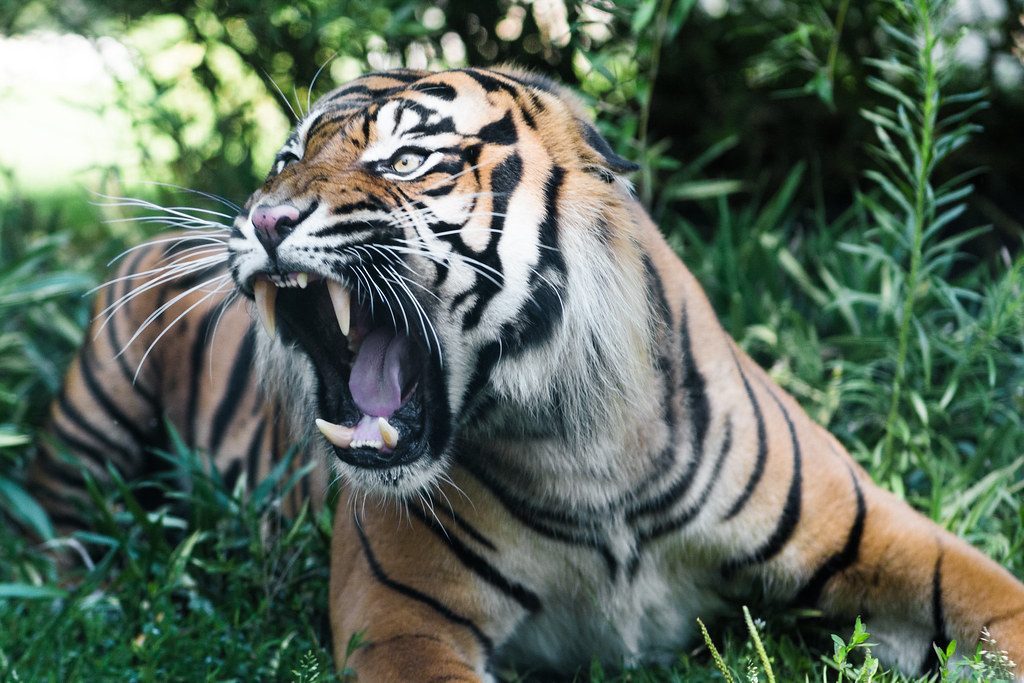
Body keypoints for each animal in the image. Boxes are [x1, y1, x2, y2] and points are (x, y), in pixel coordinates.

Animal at [32, 66, 1024, 681]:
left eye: (408, 159)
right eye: (287, 156)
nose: (262, 219)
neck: (583, 449)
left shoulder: (880, 531)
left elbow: (997, 602)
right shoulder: (402, 616)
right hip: (93, 413)